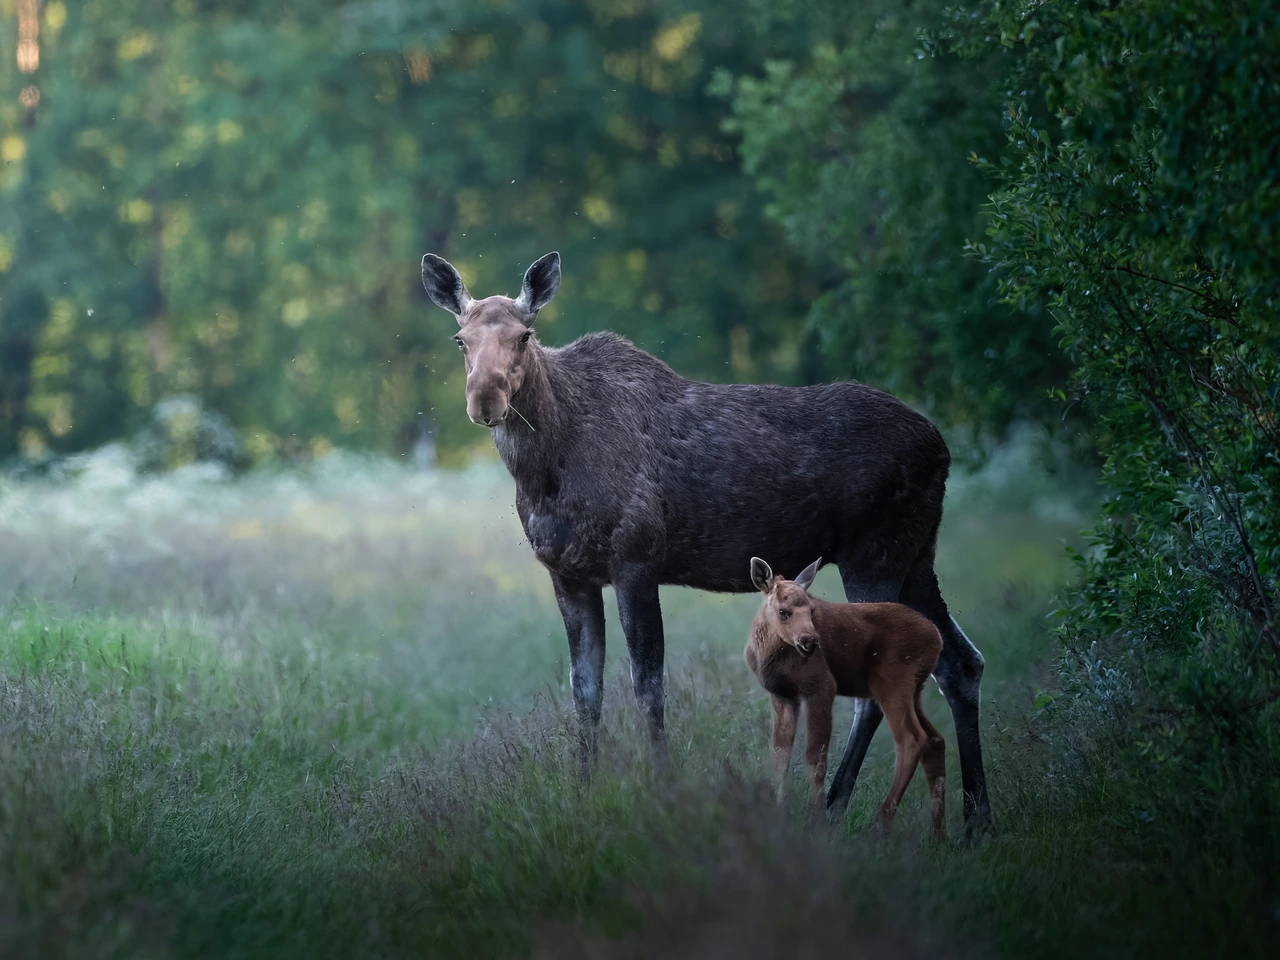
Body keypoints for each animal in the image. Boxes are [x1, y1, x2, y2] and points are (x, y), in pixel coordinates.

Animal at [744, 557, 946, 840]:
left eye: (812, 610)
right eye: (784, 611)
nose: (810, 641)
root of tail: (937, 638)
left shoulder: (822, 686)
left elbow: (815, 756)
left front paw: (818, 820)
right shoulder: (783, 695)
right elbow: (780, 755)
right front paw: (779, 813)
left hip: (892, 680)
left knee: (912, 739)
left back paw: (879, 826)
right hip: (915, 688)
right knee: (935, 740)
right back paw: (936, 835)